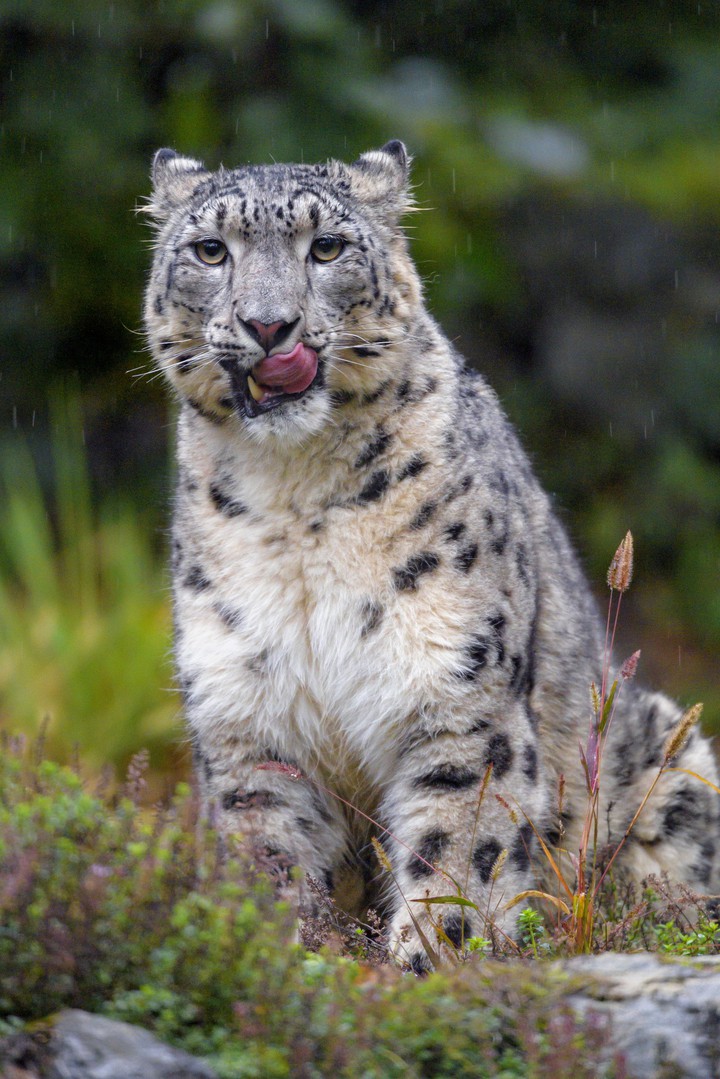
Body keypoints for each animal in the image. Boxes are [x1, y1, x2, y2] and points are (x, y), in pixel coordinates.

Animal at [143, 140, 719, 969]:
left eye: (327, 247)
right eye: (210, 250)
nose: (269, 325)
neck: (294, 497)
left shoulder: (456, 690)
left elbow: (457, 844)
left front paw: (433, 958)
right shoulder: (245, 707)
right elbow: (268, 851)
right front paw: (274, 949)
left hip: (674, 754)